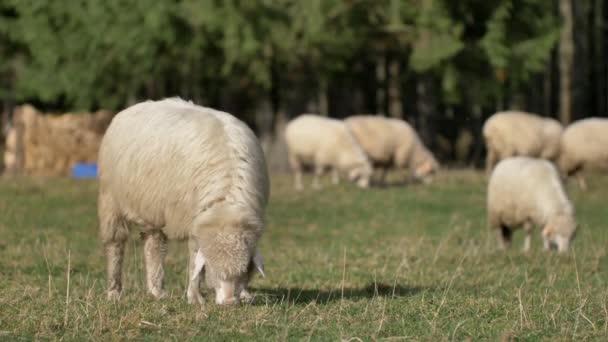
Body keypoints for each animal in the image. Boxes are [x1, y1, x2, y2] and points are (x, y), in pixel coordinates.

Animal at [98, 98, 268, 304]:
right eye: (211, 266)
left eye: (245, 269)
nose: (228, 303)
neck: (227, 203)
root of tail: (133, 107)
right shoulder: (193, 222)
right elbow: (194, 259)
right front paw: (194, 297)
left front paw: (244, 294)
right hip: (111, 201)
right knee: (116, 244)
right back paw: (114, 291)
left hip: (153, 208)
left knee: (153, 244)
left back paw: (156, 291)